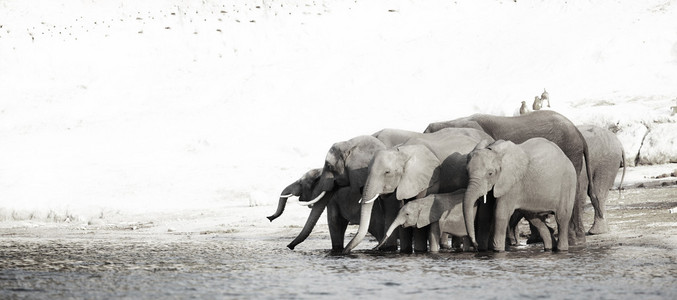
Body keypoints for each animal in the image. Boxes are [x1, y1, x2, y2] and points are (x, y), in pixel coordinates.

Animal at [344, 128, 496, 253]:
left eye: (387, 172)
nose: (345, 251)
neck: (403, 151)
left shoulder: (430, 178)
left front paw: (419, 251)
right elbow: (401, 204)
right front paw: (405, 252)